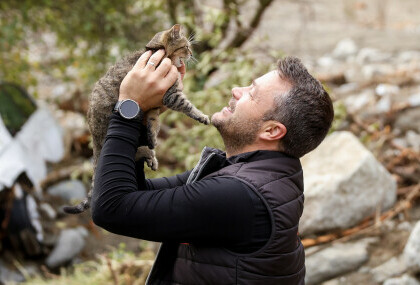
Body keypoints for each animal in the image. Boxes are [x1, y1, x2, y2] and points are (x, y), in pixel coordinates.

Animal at [63, 25, 209, 213]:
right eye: (186, 46)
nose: (191, 54)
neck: (157, 51)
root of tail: (94, 140)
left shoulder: (154, 106)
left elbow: (153, 123)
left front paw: (153, 138)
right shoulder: (171, 95)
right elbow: (188, 106)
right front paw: (202, 116)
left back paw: (151, 155)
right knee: (134, 151)